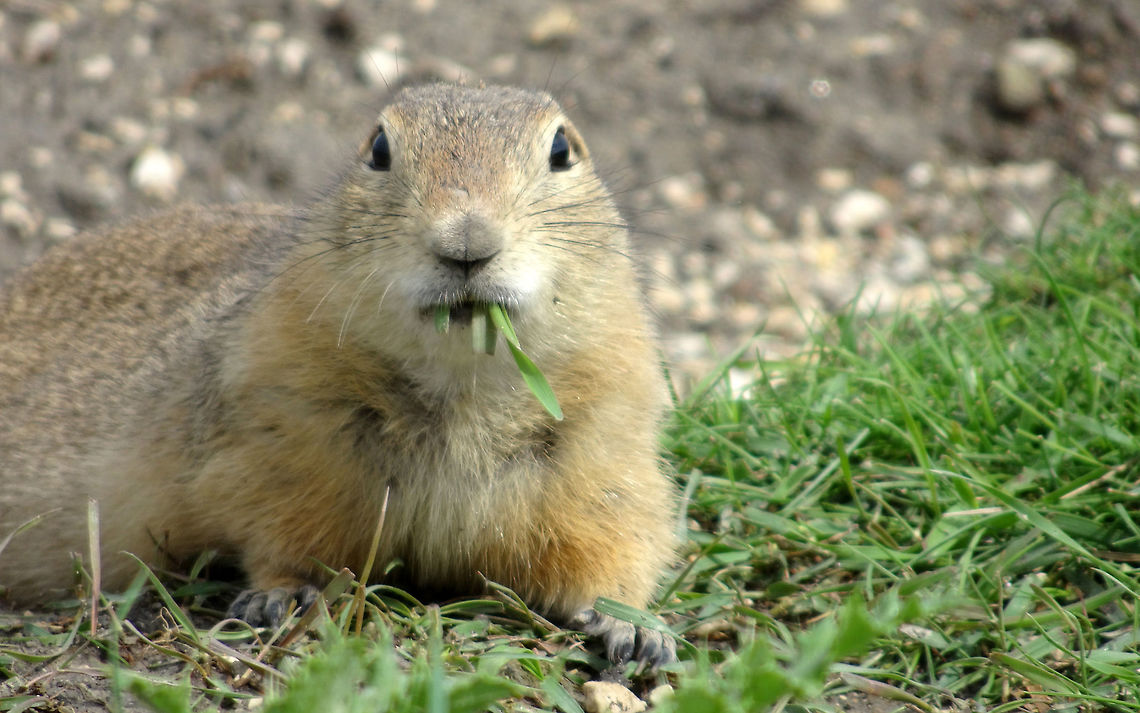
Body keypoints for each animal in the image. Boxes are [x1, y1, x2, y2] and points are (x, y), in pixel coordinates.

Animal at [0, 84, 677, 665]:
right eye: (378, 148)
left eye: (562, 150)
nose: (467, 240)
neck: (460, 387)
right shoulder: (280, 431)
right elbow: (280, 531)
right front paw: (278, 594)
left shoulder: (603, 443)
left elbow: (615, 541)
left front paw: (636, 628)